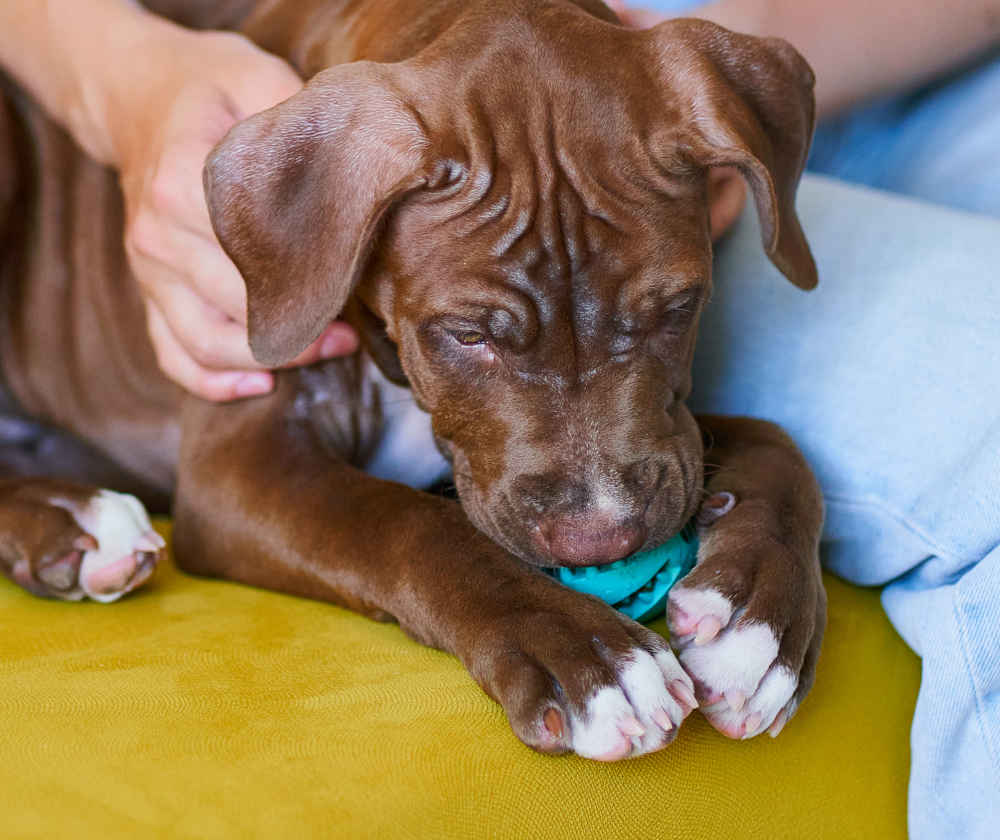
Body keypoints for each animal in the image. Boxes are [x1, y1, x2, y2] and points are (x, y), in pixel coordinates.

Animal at [0, 0, 824, 760]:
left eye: (680, 308)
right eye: (466, 335)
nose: (601, 541)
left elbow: (775, 442)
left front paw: (760, 620)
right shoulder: (239, 461)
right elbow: (405, 523)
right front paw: (587, 654)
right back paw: (75, 517)